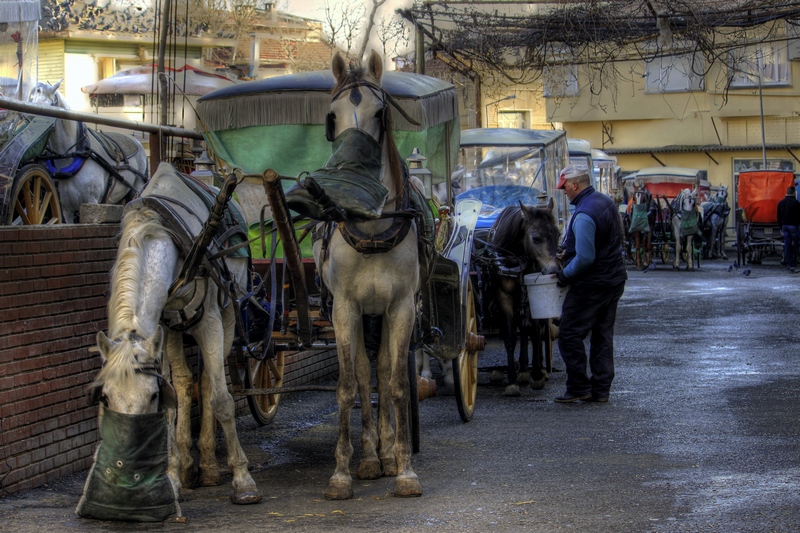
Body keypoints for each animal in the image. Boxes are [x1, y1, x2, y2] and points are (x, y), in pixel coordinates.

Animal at [27, 79, 148, 222]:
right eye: (30, 105)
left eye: (47, 108)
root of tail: (135, 139)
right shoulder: (67, 210)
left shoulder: (92, 203)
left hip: (137, 187)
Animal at [91, 164, 260, 504]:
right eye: (106, 398)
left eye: (150, 396)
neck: (157, 230)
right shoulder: (164, 327)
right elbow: (174, 396)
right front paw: (172, 474)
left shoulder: (209, 319)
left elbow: (222, 400)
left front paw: (243, 479)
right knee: (185, 381)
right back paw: (194, 466)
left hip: (229, 313)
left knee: (209, 381)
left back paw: (209, 465)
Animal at [312, 51, 424, 498]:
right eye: (332, 116)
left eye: (381, 114)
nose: (348, 183)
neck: (374, 228)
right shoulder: (344, 309)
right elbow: (348, 386)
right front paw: (342, 471)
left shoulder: (401, 307)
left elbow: (395, 384)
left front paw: (405, 468)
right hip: (359, 316)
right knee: (363, 374)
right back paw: (371, 456)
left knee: (384, 369)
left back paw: (389, 451)